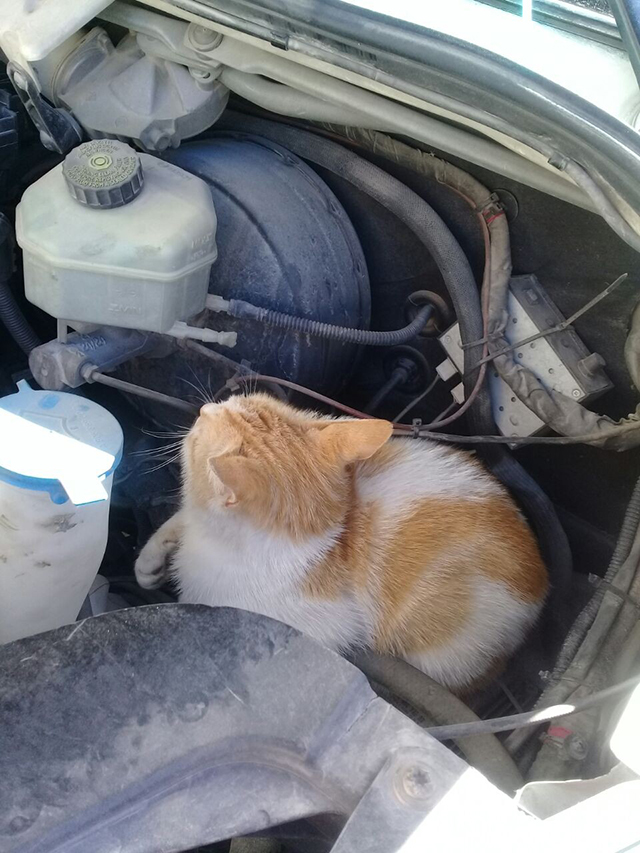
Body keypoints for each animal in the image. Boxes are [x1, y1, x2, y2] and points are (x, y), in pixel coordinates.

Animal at [135, 392, 548, 690]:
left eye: (197, 434)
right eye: (237, 397)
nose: (204, 407)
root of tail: (541, 581)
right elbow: (181, 518)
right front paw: (150, 561)